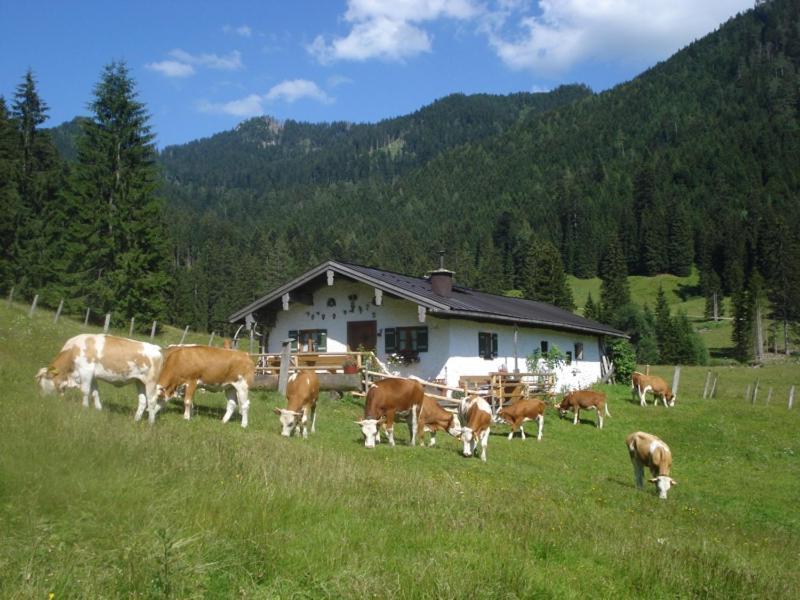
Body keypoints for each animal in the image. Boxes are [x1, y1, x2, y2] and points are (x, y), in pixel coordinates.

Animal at [36, 332, 164, 422]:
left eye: (42, 383)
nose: (42, 398)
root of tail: (156, 348)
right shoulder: (93, 376)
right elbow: (95, 393)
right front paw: (98, 409)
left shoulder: (85, 372)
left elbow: (85, 391)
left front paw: (85, 408)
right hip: (139, 381)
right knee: (142, 401)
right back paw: (136, 420)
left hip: (151, 382)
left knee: (152, 401)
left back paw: (150, 423)